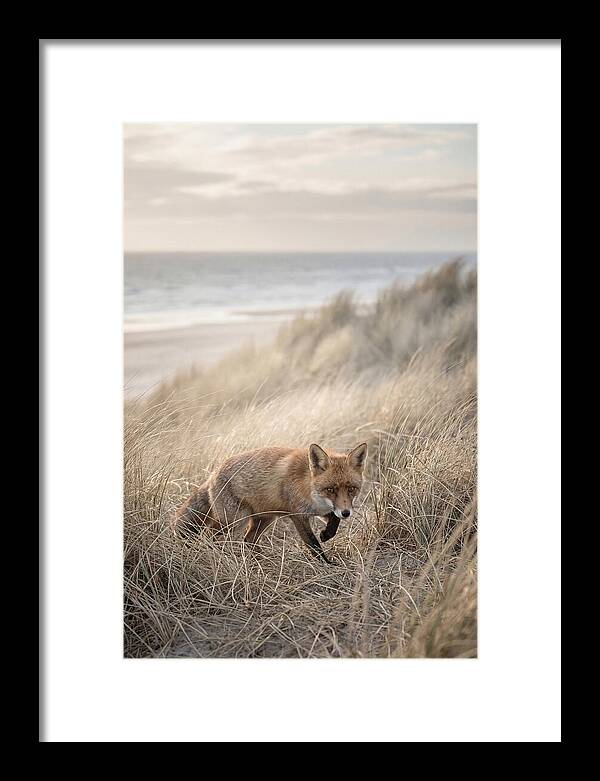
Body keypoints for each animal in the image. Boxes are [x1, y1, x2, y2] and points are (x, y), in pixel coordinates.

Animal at [172, 442, 368, 565]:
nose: (347, 513)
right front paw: (326, 564)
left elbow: (334, 521)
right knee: (209, 535)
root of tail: (212, 474)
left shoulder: (323, 510)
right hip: (234, 521)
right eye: (331, 489)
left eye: (351, 489)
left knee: (248, 539)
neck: (309, 486)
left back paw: (258, 559)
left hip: (264, 519)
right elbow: (313, 544)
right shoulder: (298, 515)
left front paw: (326, 534)